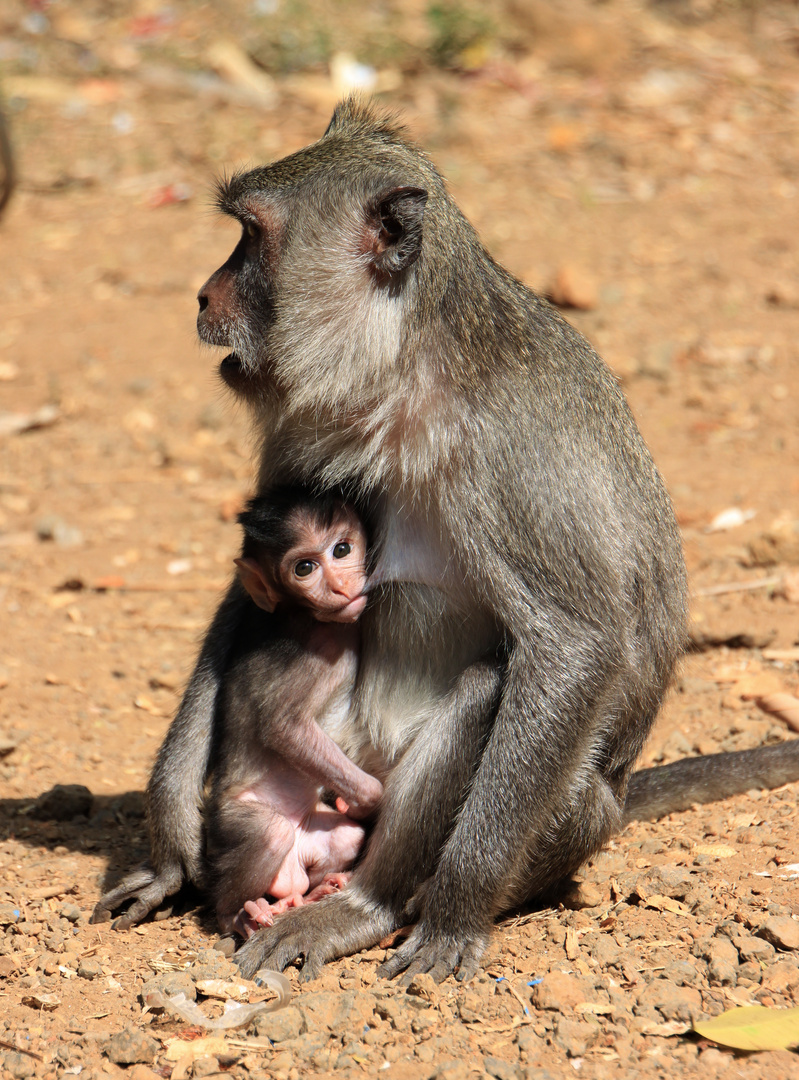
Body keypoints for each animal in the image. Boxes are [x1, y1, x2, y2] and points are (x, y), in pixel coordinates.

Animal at [204, 490, 382, 937]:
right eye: (304, 568)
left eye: (342, 549)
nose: (339, 585)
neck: (308, 617)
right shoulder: (312, 654)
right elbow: (282, 727)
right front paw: (363, 800)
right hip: (235, 820)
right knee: (267, 835)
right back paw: (238, 914)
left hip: (316, 841)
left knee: (345, 839)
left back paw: (317, 891)